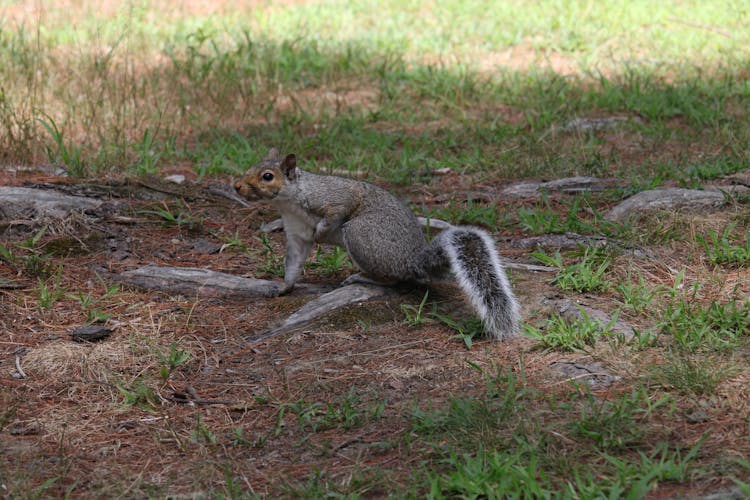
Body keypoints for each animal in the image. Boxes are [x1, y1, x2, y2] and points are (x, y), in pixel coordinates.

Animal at [236, 148, 524, 340]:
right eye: (251, 167)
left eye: (267, 176)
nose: (237, 186)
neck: (290, 202)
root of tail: (414, 260)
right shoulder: (296, 235)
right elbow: (294, 263)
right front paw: (283, 288)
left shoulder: (335, 198)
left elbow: (336, 214)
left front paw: (322, 233)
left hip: (360, 233)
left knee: (393, 279)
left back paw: (362, 277)